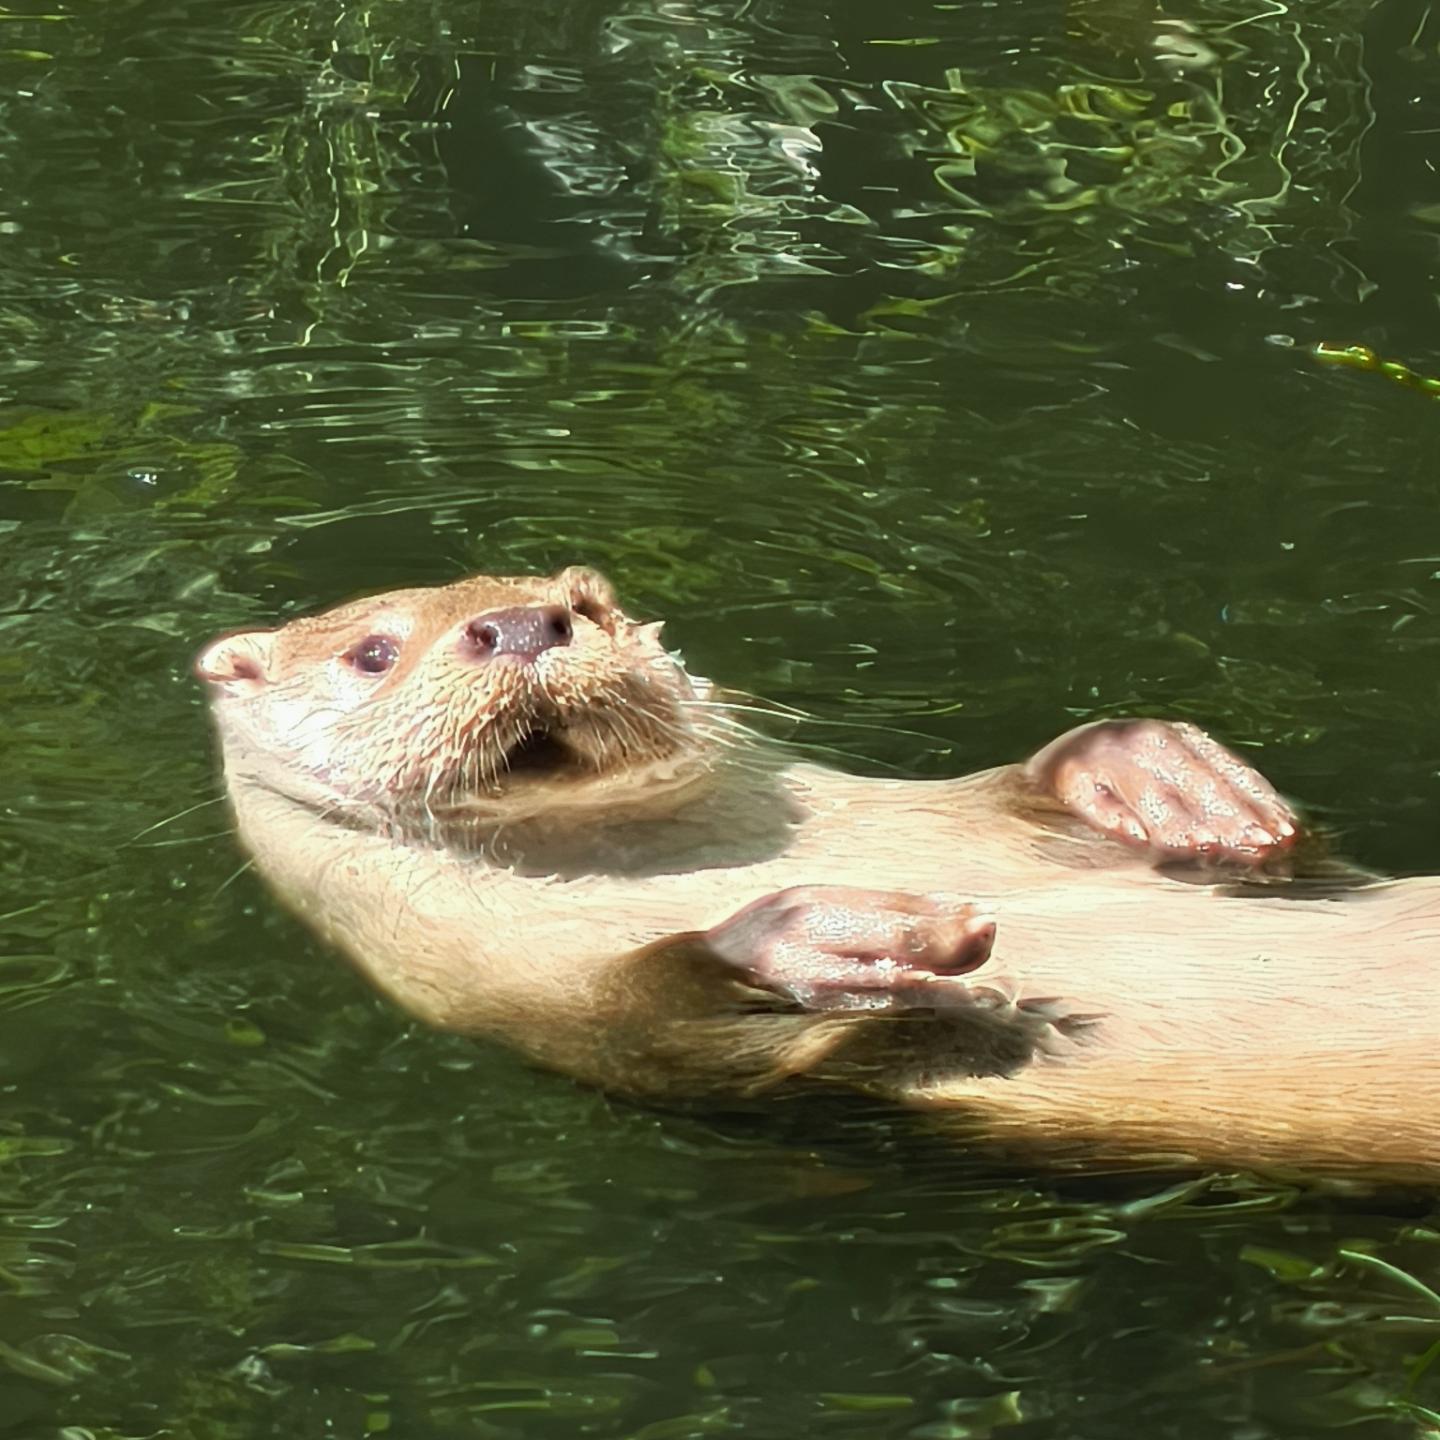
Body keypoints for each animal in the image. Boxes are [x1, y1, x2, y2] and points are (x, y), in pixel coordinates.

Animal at [196, 568, 1440, 1180]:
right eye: (371, 651)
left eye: (585, 607)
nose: (519, 624)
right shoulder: (510, 999)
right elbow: (659, 1024)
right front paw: (839, 936)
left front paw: (1157, 773)